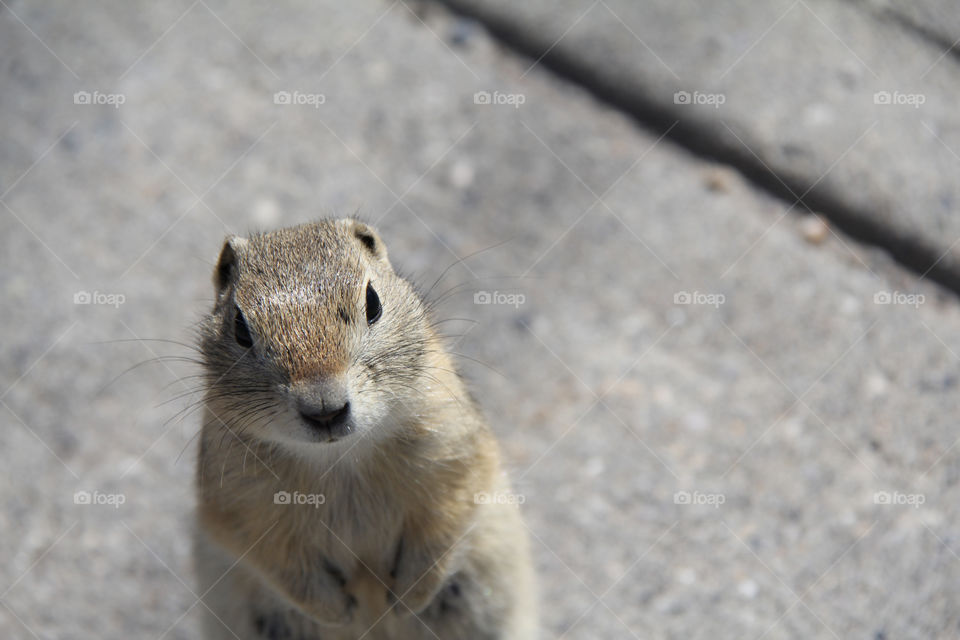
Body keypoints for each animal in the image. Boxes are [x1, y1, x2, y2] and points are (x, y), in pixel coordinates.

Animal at [193, 219, 537, 640]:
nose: (324, 410)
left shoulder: (453, 450)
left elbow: (447, 519)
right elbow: (274, 557)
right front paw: (337, 610)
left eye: (373, 303)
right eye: (240, 328)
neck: (341, 454)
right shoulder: (238, 501)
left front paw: (407, 597)